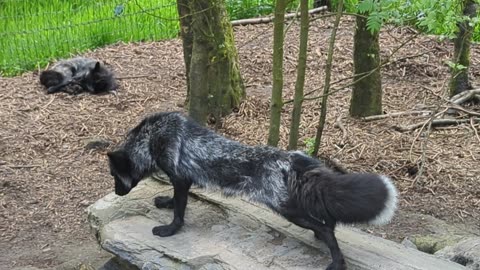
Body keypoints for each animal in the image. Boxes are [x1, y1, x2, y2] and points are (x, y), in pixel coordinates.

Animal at [108, 110, 398, 268]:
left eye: (114, 176)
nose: (117, 193)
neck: (152, 138)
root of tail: (291, 158)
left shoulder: (180, 179)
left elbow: (179, 212)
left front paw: (170, 230)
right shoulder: (183, 181)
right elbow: (175, 202)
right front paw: (165, 203)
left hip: (287, 210)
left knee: (327, 227)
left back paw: (337, 262)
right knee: (327, 221)